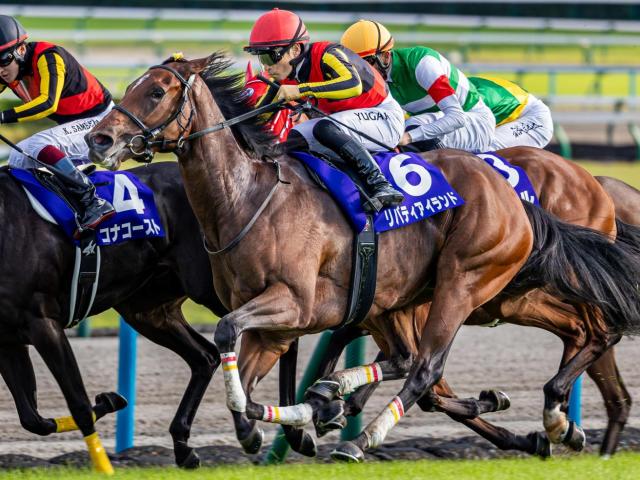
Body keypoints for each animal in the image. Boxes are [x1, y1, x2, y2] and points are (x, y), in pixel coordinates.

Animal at [0, 162, 228, 472]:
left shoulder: (43, 323)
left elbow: (80, 406)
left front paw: (104, 467)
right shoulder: (8, 339)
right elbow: (31, 418)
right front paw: (110, 400)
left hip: (213, 286)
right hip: (148, 310)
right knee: (205, 356)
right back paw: (184, 448)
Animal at [86, 54, 640, 464]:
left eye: (156, 91)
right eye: (133, 87)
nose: (99, 138)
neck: (249, 197)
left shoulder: (295, 305)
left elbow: (231, 337)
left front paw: (306, 418)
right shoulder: (287, 323)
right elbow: (248, 372)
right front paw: (282, 421)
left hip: (466, 283)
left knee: (430, 366)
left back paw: (364, 438)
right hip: (484, 295)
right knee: (570, 333)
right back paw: (557, 422)